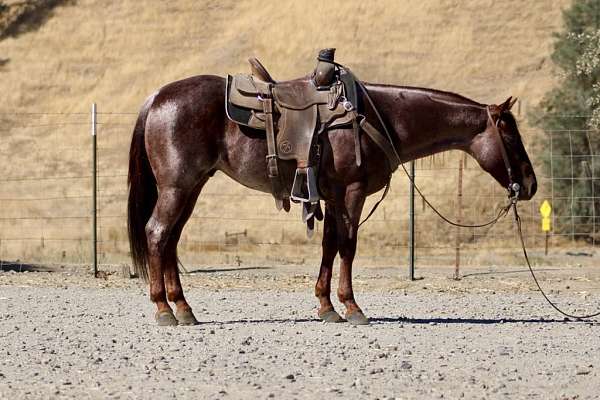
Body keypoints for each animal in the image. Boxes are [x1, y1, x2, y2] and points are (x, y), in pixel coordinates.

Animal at [127, 74, 540, 324]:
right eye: (511, 136)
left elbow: (329, 245)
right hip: (177, 188)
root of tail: (157, 97)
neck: (378, 117)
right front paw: (353, 306)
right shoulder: (352, 192)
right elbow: (348, 245)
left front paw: (327, 307)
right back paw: (164, 309)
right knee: (157, 233)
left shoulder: (332, 197)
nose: (530, 184)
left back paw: (183, 308)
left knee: (170, 239)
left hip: (191, 188)